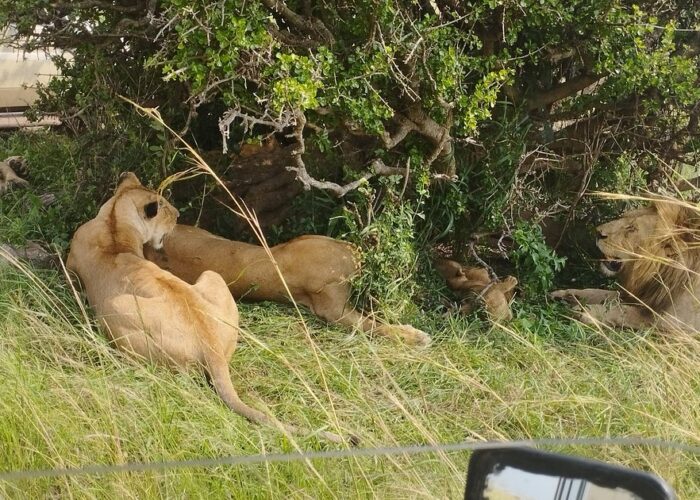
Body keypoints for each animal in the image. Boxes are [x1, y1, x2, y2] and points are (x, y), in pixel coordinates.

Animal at [67, 174, 346, 444]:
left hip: (115, 309)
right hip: (212, 277)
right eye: (165, 207)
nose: (178, 214)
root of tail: (209, 343)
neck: (114, 222)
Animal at [552, 199, 700, 332]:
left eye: (631, 228)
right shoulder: (641, 295)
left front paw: (585, 311)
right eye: (624, 217)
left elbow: (623, 311)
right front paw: (566, 294)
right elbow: (601, 293)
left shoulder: (677, 321)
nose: (597, 232)